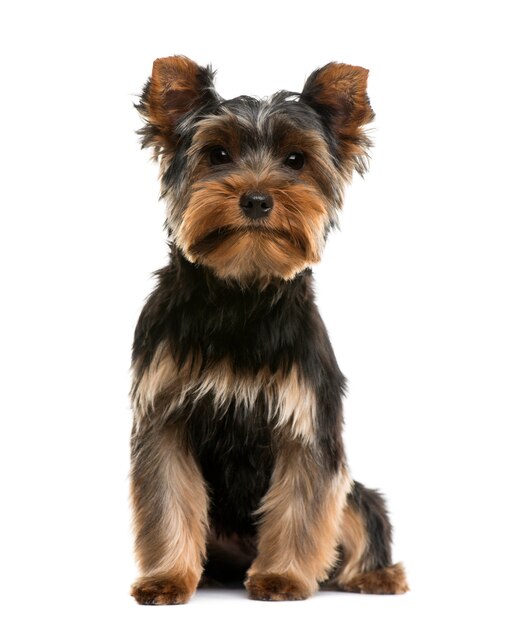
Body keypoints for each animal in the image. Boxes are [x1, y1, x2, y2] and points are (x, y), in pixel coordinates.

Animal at [131, 56, 408, 604]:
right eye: (217, 154)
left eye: (296, 160)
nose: (257, 199)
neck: (242, 290)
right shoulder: (165, 413)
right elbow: (167, 496)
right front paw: (167, 578)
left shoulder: (305, 417)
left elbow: (301, 502)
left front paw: (282, 578)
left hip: (352, 494)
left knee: (359, 514)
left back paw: (376, 576)